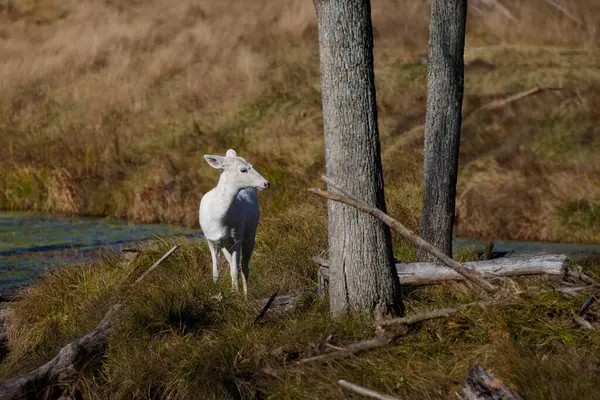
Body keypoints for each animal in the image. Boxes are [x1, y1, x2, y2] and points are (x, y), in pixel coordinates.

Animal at [199, 149, 270, 296]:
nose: (266, 183)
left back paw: (245, 295)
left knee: (243, 266)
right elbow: (215, 271)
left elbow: (234, 270)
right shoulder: (210, 240)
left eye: (251, 165)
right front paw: (217, 291)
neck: (218, 221)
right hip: (226, 245)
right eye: (243, 169)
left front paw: (235, 295)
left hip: (250, 234)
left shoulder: (237, 236)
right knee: (235, 263)